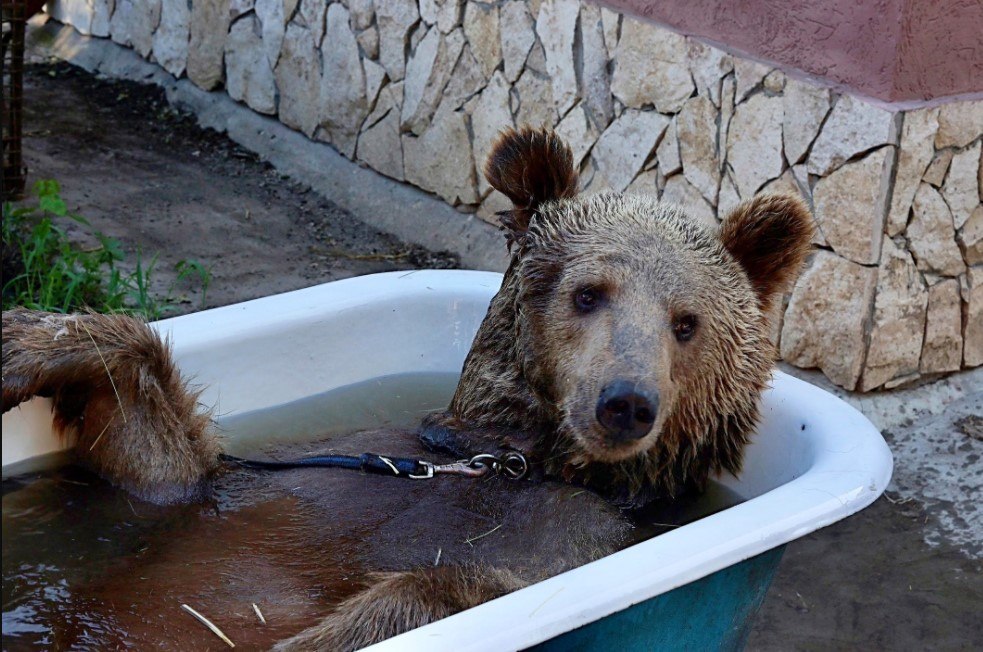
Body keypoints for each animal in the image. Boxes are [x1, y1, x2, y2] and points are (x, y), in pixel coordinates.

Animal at [0, 125, 816, 648]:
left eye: (687, 322)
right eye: (589, 293)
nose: (626, 402)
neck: (512, 459)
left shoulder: (587, 539)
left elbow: (442, 589)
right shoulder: (308, 477)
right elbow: (158, 465)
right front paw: (20, 346)